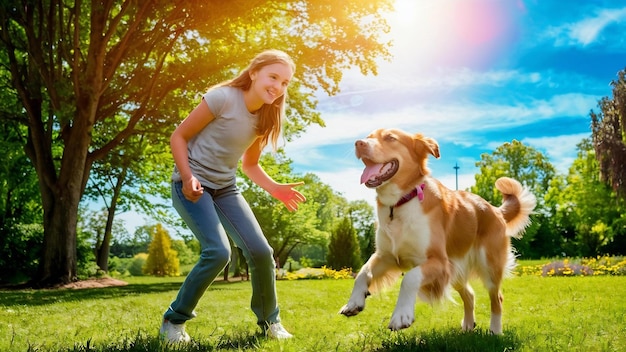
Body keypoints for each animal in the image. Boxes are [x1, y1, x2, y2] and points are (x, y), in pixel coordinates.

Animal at [338, 128, 532, 334]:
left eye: (390, 138)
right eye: (368, 137)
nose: (359, 143)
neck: (400, 202)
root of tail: (496, 210)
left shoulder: (439, 262)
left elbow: (410, 278)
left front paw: (401, 315)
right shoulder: (386, 256)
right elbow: (362, 272)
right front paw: (353, 303)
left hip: (489, 266)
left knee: (497, 299)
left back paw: (495, 331)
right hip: (456, 269)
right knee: (470, 294)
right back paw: (468, 325)